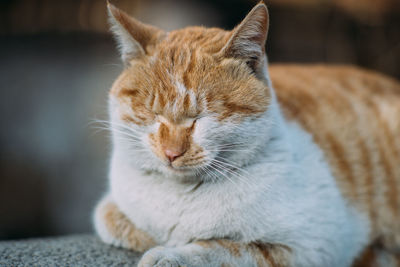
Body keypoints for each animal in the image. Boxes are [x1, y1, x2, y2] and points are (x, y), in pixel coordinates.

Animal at [94, 2, 400, 267]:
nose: (171, 153)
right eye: (152, 114)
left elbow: (225, 249)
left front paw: (171, 255)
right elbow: (112, 219)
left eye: (200, 118)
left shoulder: (314, 246)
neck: (179, 194)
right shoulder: (111, 209)